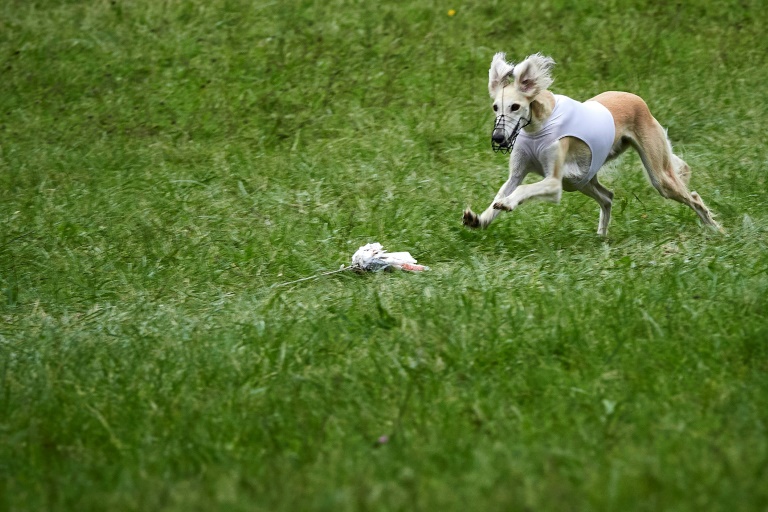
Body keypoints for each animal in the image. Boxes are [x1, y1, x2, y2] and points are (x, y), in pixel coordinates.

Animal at [462, 52, 720, 236]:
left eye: (515, 106)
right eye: (495, 107)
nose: (498, 138)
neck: (537, 127)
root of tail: (636, 98)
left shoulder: (554, 183)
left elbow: (524, 189)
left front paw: (507, 203)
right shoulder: (517, 174)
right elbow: (503, 191)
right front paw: (479, 219)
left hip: (658, 176)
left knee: (693, 197)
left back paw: (717, 230)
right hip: (581, 179)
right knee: (607, 196)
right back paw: (601, 237)